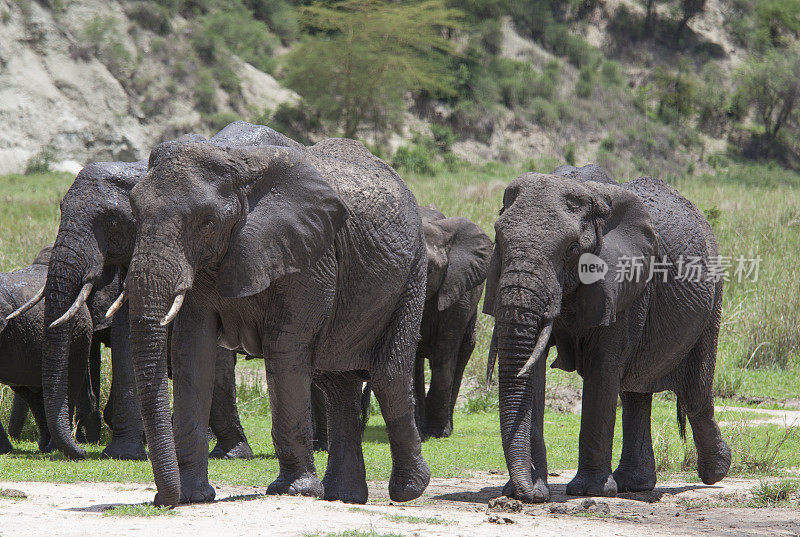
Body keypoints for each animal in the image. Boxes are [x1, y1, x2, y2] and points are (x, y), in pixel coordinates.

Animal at [122, 121, 432, 506]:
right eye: (134, 212)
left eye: (207, 221)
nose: (161, 501)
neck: (235, 160)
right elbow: (192, 351)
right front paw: (194, 497)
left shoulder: (312, 256)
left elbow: (285, 347)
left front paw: (294, 491)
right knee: (336, 384)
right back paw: (343, 496)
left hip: (412, 273)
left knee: (389, 376)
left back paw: (408, 490)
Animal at [484, 163, 736, 502]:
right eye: (498, 241)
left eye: (572, 249)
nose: (530, 497)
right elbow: (532, 370)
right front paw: (527, 489)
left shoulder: (623, 284)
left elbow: (601, 368)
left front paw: (589, 491)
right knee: (634, 391)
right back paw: (635, 484)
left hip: (713, 300)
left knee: (695, 391)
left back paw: (716, 471)